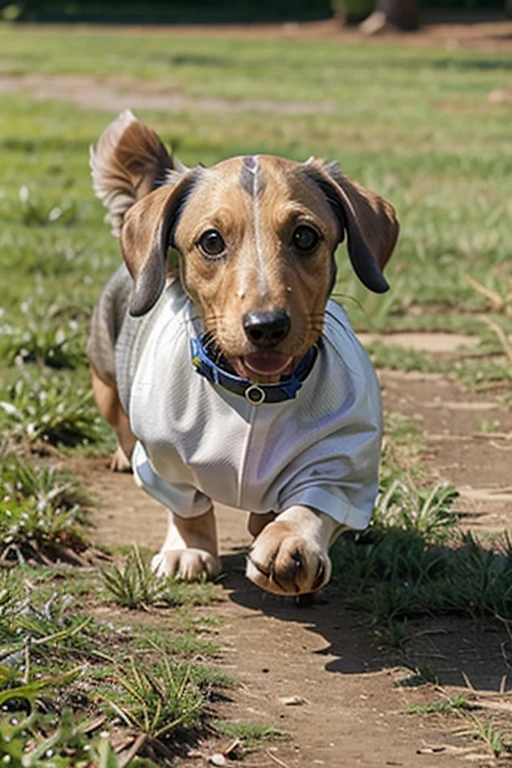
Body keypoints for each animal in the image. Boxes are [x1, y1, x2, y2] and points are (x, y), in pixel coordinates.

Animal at [88, 111, 400, 596]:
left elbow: (310, 506)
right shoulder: (165, 463)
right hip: (105, 382)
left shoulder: (339, 465)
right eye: (211, 241)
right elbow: (188, 509)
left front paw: (290, 543)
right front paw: (188, 550)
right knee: (121, 424)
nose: (266, 326)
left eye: (305, 236)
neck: (255, 396)